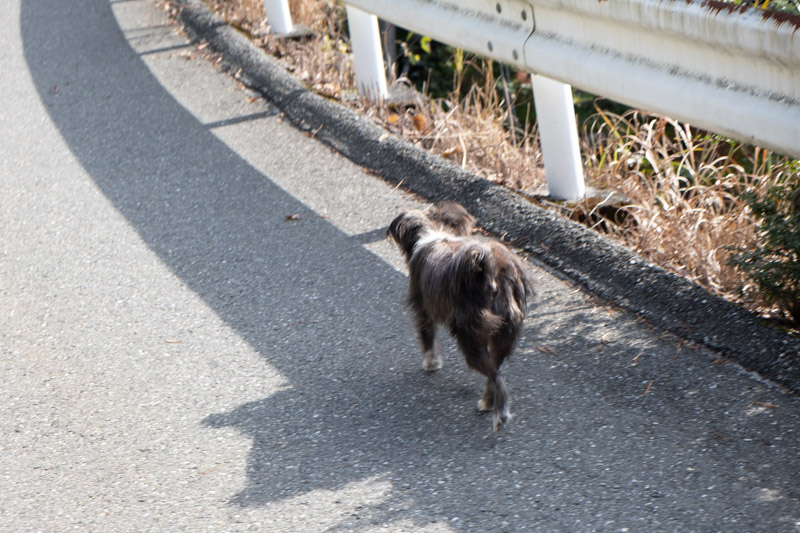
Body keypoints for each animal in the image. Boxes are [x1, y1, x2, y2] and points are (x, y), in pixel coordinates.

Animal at [386, 202, 532, 430]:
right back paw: (488, 403)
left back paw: (500, 414)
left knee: (495, 375)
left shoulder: (423, 306)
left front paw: (431, 363)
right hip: (502, 334)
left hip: (469, 334)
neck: (432, 231)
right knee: (495, 372)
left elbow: (427, 336)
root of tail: (493, 276)